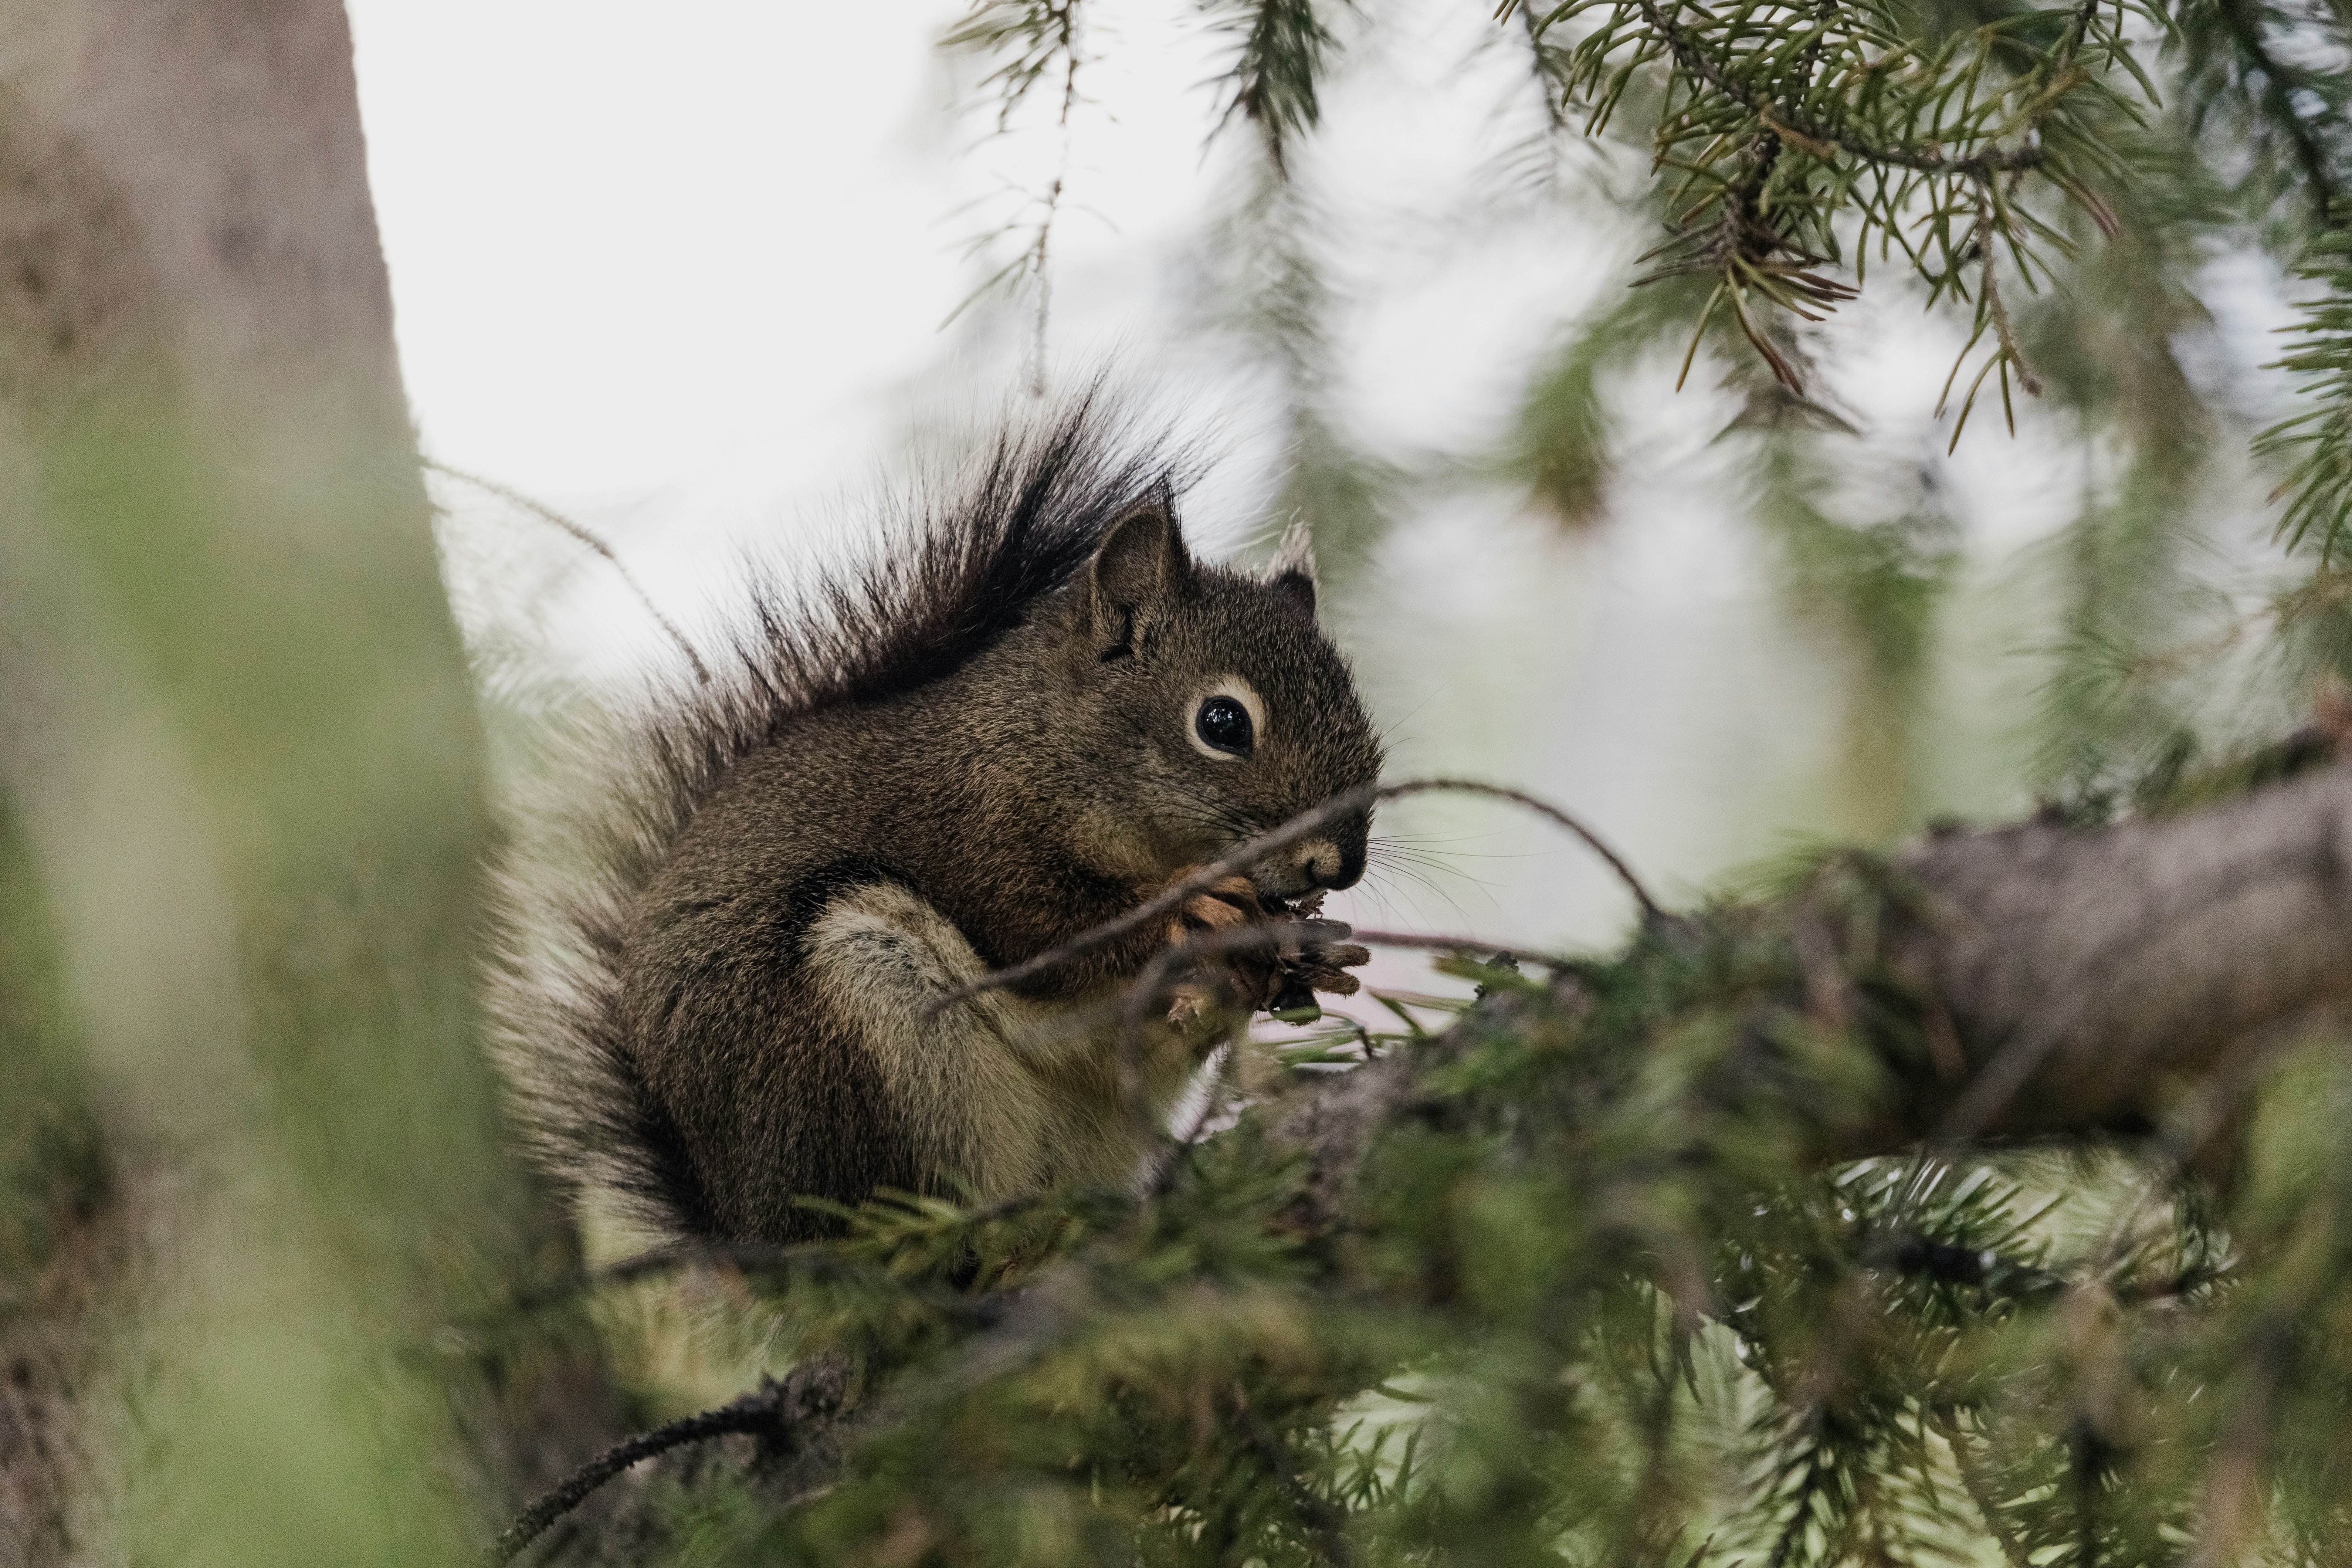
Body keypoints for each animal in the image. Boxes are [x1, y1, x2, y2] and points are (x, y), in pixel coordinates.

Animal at [489, 402, 1383, 1250]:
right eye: (1223, 722)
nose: (1338, 866)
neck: (1039, 741)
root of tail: (754, 1236)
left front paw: (1315, 952)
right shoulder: (967, 832)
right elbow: (1042, 927)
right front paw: (1188, 905)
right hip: (864, 1037)